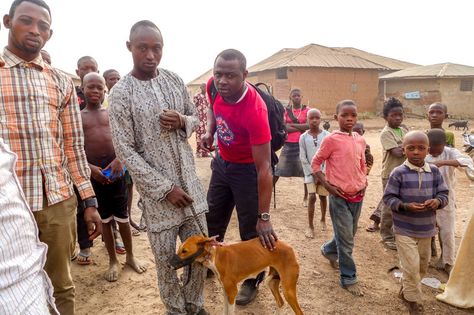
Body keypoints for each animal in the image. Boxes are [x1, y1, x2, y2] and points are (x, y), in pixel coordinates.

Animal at [170, 236, 304, 314]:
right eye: (179, 249)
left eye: (184, 251)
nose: (169, 264)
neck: (215, 256)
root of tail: (290, 247)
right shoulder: (226, 291)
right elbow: (225, 311)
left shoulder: (232, 292)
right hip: (271, 282)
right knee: (280, 302)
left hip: (288, 290)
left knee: (298, 311)